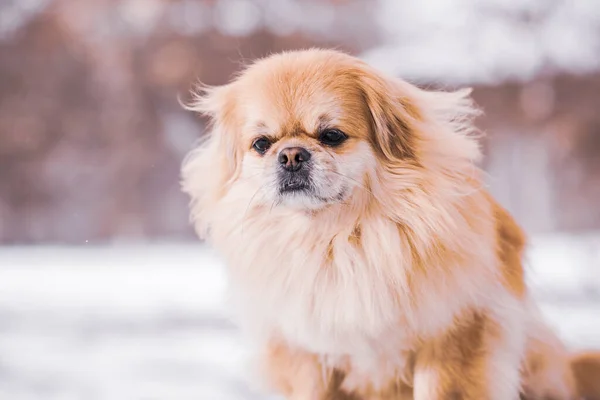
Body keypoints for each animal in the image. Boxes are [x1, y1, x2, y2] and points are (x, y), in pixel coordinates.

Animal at [182, 48, 600, 398]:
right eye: (261, 144)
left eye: (331, 136)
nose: (291, 155)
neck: (337, 238)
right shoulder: (306, 356)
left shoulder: (456, 335)